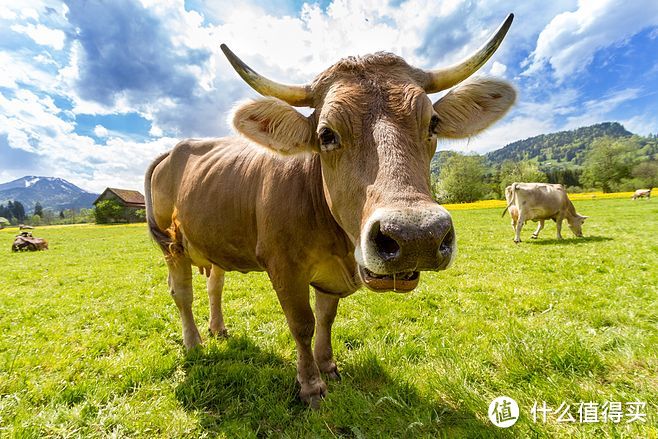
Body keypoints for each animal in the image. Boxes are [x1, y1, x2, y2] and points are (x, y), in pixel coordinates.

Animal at [146, 15, 516, 408]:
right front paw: (310, 384)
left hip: (212, 240)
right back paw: (194, 343)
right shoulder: (284, 266)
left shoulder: (329, 276)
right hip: (171, 245)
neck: (337, 242)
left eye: (432, 123)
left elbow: (326, 318)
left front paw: (328, 366)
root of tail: (176, 148)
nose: (417, 236)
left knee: (214, 283)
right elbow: (302, 324)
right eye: (326, 134)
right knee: (182, 293)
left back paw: (218, 329)